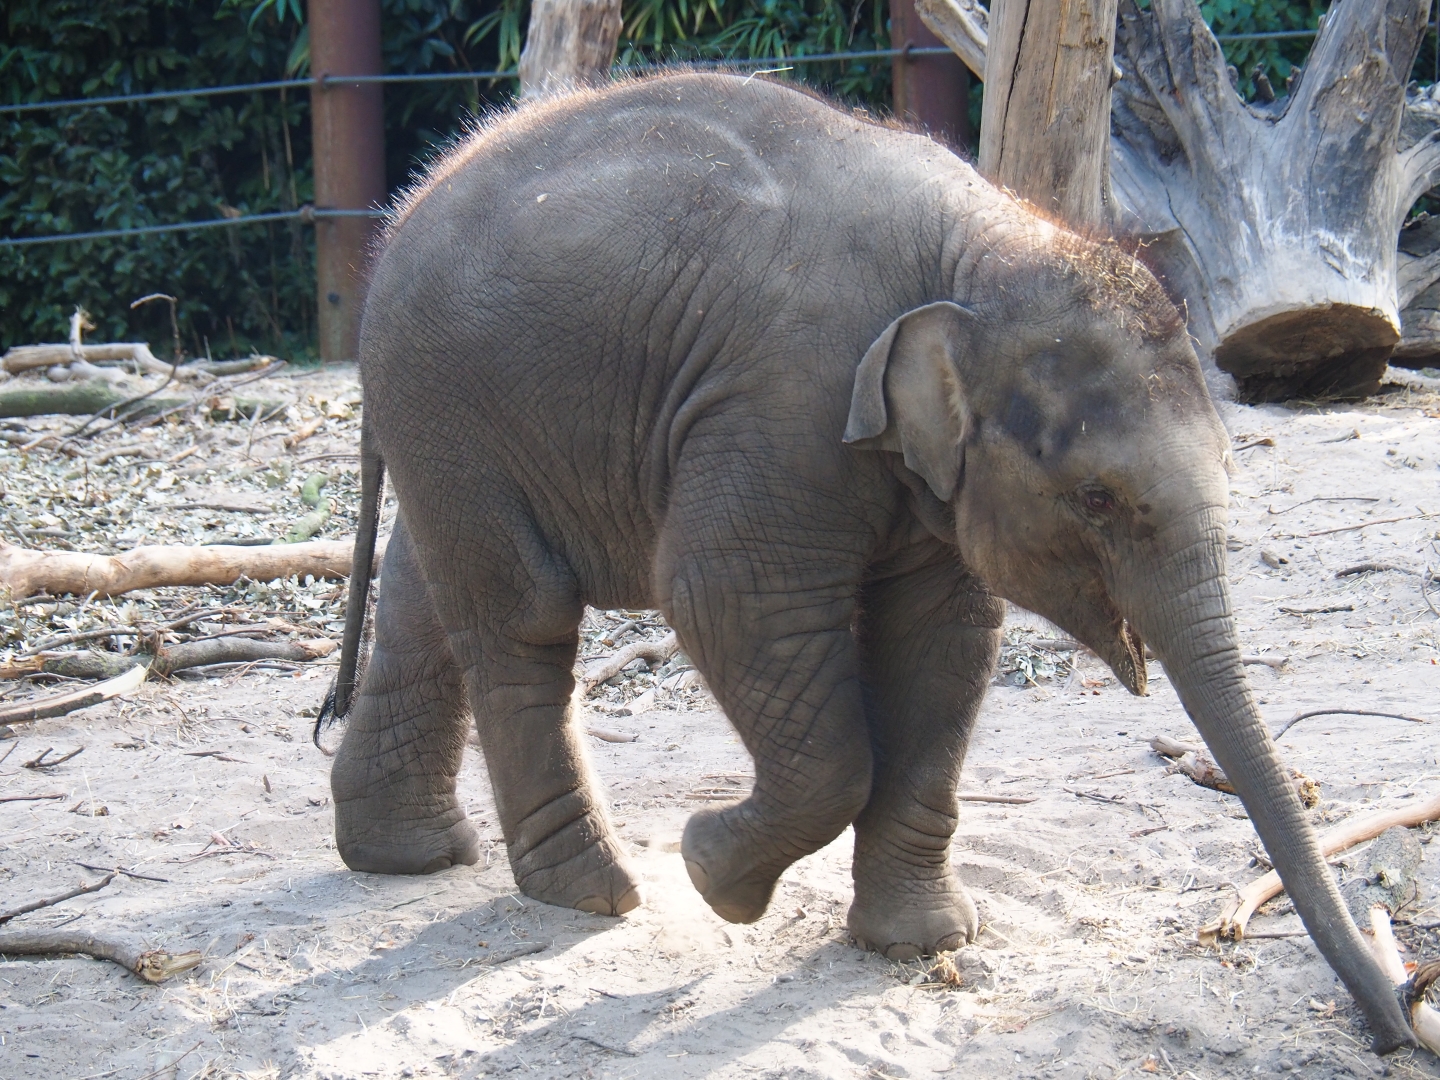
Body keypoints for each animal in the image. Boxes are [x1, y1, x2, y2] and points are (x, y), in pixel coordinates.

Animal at [321, 72, 1413, 1052]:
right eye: (1097, 498)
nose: (1395, 1023)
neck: (985, 248)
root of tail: (404, 209)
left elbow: (942, 639)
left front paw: (920, 943)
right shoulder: (782, 409)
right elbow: (722, 595)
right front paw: (711, 870)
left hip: (450, 427)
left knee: (429, 597)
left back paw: (410, 857)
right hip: (453, 397)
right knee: (523, 617)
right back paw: (596, 894)